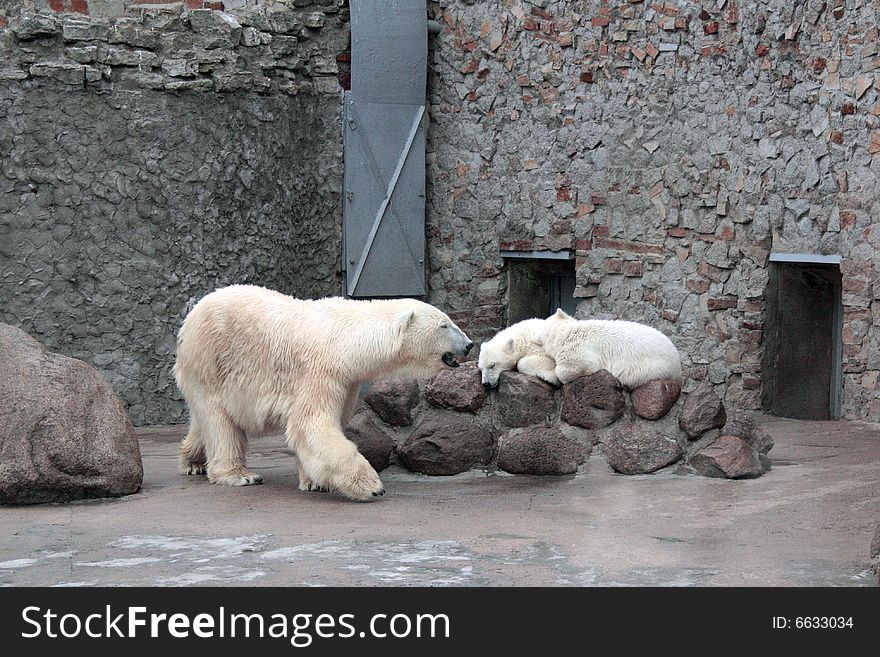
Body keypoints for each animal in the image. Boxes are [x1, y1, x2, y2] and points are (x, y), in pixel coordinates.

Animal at [174, 284, 474, 500]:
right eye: (444, 325)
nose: (469, 345)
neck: (347, 340)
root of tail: (192, 314)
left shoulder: (348, 381)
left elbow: (329, 425)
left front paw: (313, 482)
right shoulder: (320, 371)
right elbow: (311, 424)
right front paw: (370, 485)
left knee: (205, 419)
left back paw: (193, 461)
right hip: (210, 362)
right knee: (219, 421)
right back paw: (240, 475)